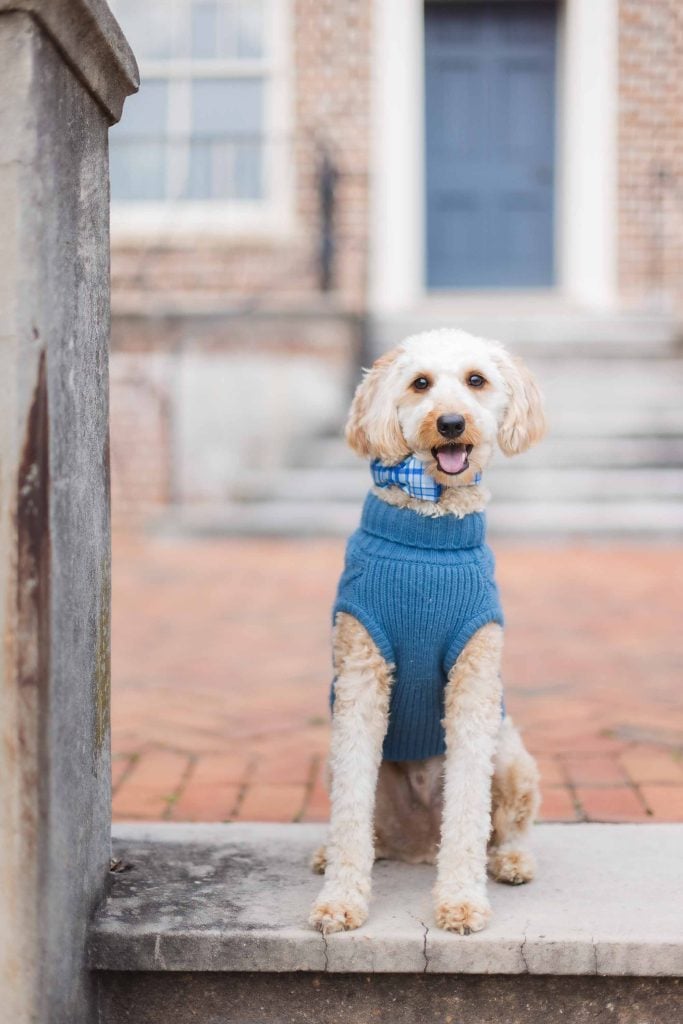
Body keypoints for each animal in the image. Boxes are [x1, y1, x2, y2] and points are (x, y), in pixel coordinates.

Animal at [309, 327, 544, 937]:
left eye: (476, 380)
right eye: (420, 384)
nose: (452, 423)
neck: (428, 523)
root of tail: (417, 849)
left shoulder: (475, 680)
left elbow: (468, 811)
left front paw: (460, 902)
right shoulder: (360, 675)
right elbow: (350, 811)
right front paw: (339, 901)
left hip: (512, 756)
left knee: (504, 828)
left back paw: (511, 861)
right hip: (335, 762)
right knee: (364, 827)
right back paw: (328, 854)